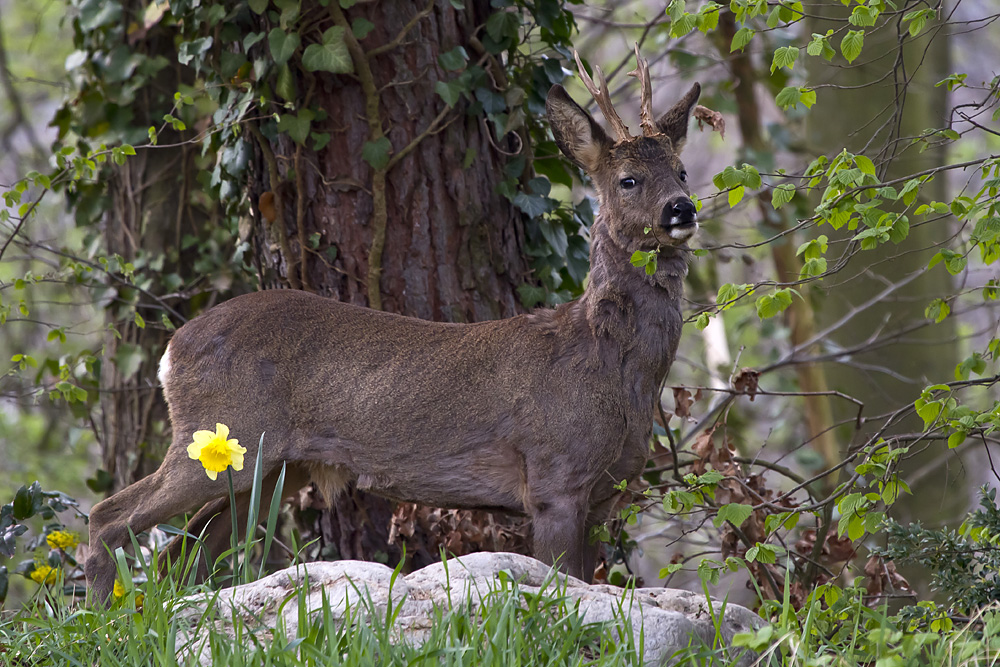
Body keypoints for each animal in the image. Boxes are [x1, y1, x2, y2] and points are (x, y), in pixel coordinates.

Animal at [88, 49, 704, 604]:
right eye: (627, 180)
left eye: (681, 170)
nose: (682, 208)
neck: (608, 363)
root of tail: (172, 348)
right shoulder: (555, 476)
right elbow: (565, 582)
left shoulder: (604, 494)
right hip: (221, 431)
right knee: (108, 515)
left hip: (265, 464)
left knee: (180, 555)